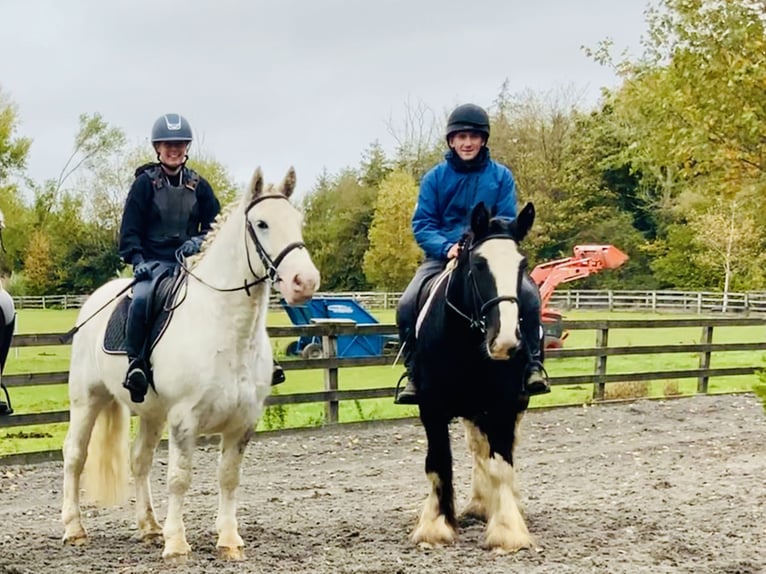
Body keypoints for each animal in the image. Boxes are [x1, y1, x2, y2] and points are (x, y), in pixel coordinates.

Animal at [60, 166, 320, 564]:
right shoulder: (185, 419)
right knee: (75, 455)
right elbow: (180, 479)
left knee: (139, 461)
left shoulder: (244, 422)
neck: (226, 329)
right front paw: (177, 545)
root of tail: (96, 299)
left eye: (298, 221)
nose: (304, 282)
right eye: (261, 224)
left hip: (150, 413)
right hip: (87, 401)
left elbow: (228, 478)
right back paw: (75, 529)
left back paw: (149, 527)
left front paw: (229, 540)